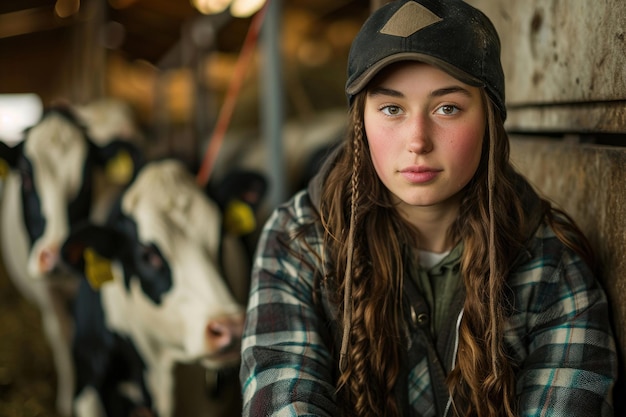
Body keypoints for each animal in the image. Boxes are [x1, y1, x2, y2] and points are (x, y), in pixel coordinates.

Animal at [0, 102, 141, 414]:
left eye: (87, 180)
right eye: (25, 177)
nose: (53, 257)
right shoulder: (46, 291)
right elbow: (61, 336)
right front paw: (66, 399)